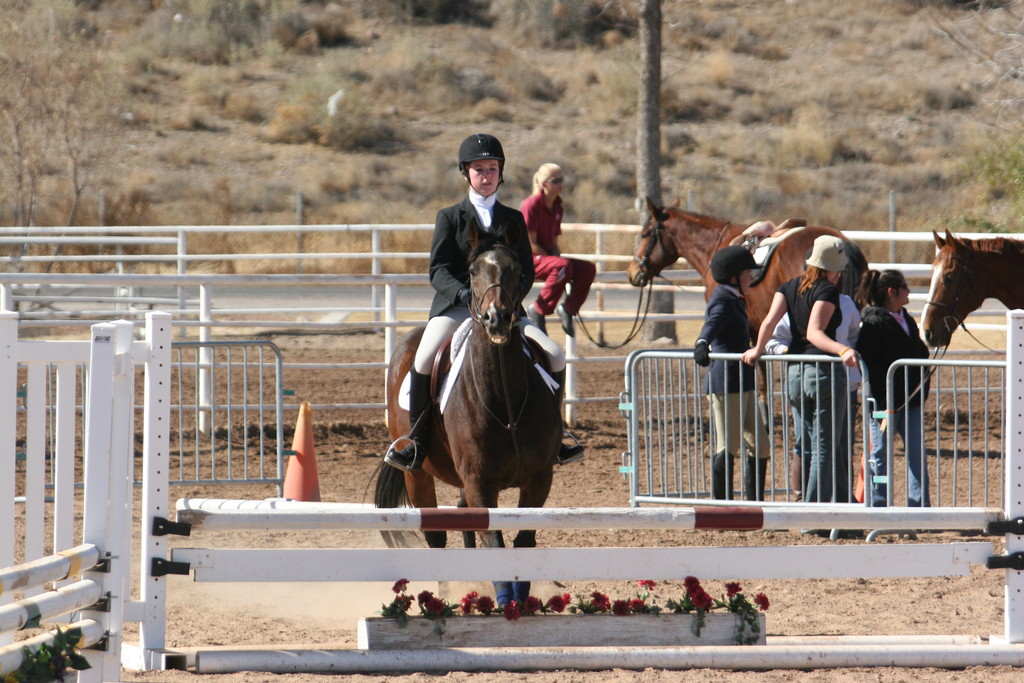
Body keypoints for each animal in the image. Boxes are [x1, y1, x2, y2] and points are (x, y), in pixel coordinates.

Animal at [372, 218, 561, 602]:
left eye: (517, 269)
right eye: (473, 271)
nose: (497, 319)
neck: (505, 399)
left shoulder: (539, 478)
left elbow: (523, 540)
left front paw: (519, 596)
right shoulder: (479, 481)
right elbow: (495, 541)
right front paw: (506, 599)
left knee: (463, 519)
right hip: (418, 474)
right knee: (437, 536)